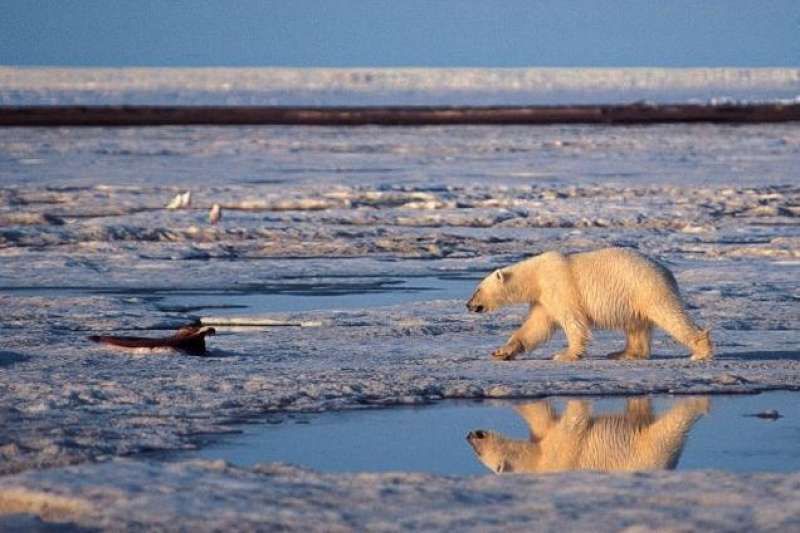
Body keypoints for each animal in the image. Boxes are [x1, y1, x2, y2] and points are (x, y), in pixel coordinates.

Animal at [466, 247, 716, 360]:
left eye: (477, 289)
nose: (468, 305)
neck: (535, 276)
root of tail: (667, 271)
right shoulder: (543, 299)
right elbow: (535, 327)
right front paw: (501, 351)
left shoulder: (560, 288)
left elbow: (572, 321)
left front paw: (565, 355)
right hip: (634, 298)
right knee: (636, 326)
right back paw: (623, 353)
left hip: (646, 288)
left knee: (670, 315)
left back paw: (700, 351)